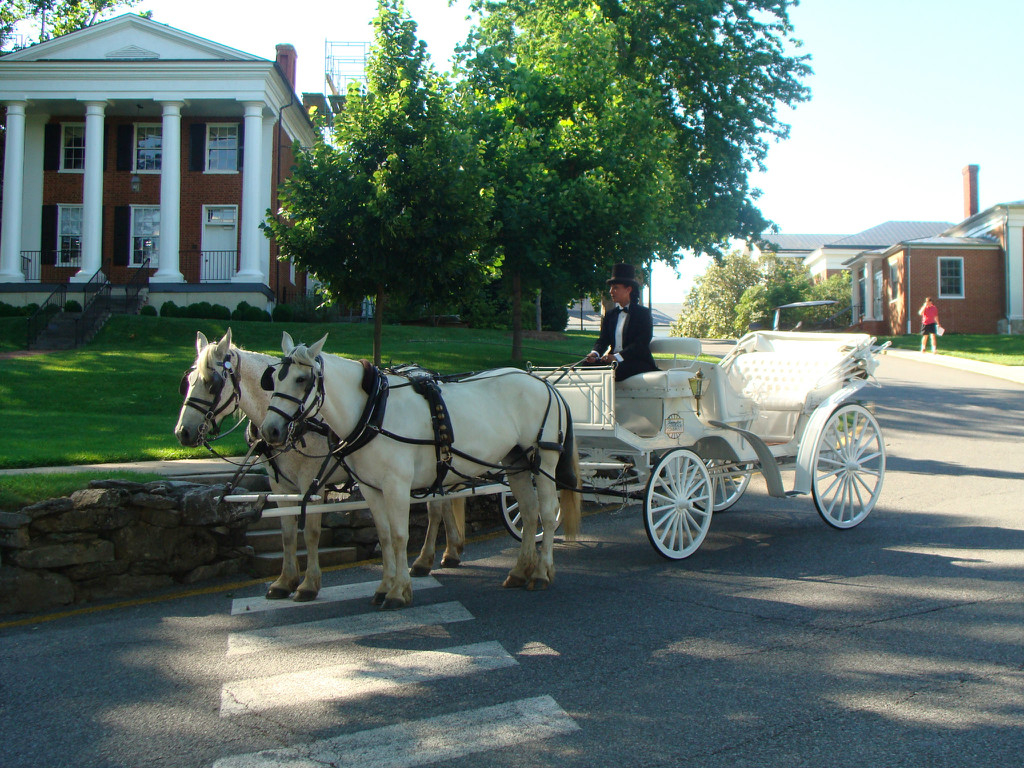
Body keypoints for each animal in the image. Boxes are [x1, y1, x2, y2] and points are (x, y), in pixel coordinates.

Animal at [174, 329, 466, 602]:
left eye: (212, 383)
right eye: (187, 382)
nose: (182, 432)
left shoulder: (311, 482)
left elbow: (311, 533)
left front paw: (308, 584)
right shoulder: (279, 484)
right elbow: (287, 533)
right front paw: (284, 581)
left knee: (435, 509)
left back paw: (425, 559)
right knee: (443, 501)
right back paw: (451, 549)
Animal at [260, 333, 581, 610]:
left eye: (302, 379)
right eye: (274, 378)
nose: (269, 430)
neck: (374, 409)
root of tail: (543, 383)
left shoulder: (397, 485)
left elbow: (400, 535)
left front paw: (399, 592)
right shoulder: (371, 488)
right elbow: (384, 536)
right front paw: (384, 587)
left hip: (543, 461)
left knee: (547, 512)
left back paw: (541, 572)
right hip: (516, 462)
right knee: (528, 511)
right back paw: (519, 571)